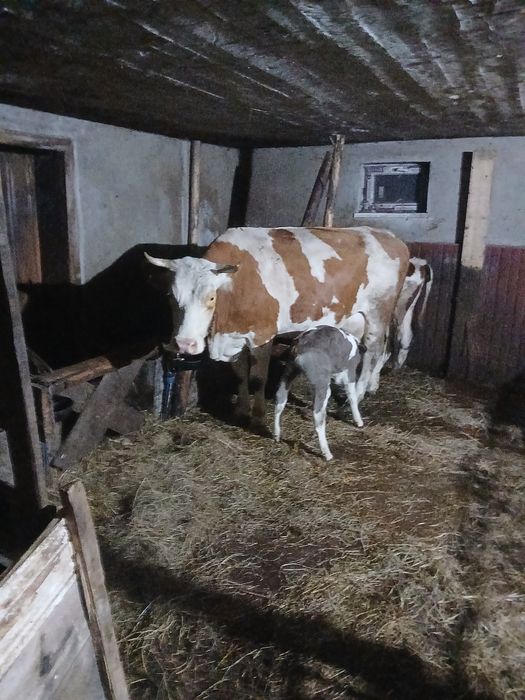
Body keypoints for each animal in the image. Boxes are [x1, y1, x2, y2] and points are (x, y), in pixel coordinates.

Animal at [145, 226, 410, 428]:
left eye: (211, 297)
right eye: (171, 296)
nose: (185, 344)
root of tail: (390, 236)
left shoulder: (263, 335)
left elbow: (258, 378)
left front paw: (258, 417)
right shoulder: (236, 337)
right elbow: (240, 375)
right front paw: (241, 411)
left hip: (378, 311)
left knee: (374, 350)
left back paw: (362, 393)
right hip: (354, 318)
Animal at [273, 314, 366, 461]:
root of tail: (300, 345)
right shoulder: (349, 372)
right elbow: (352, 396)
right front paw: (358, 421)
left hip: (289, 372)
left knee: (279, 402)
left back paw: (276, 435)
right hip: (321, 382)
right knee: (318, 416)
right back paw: (327, 453)